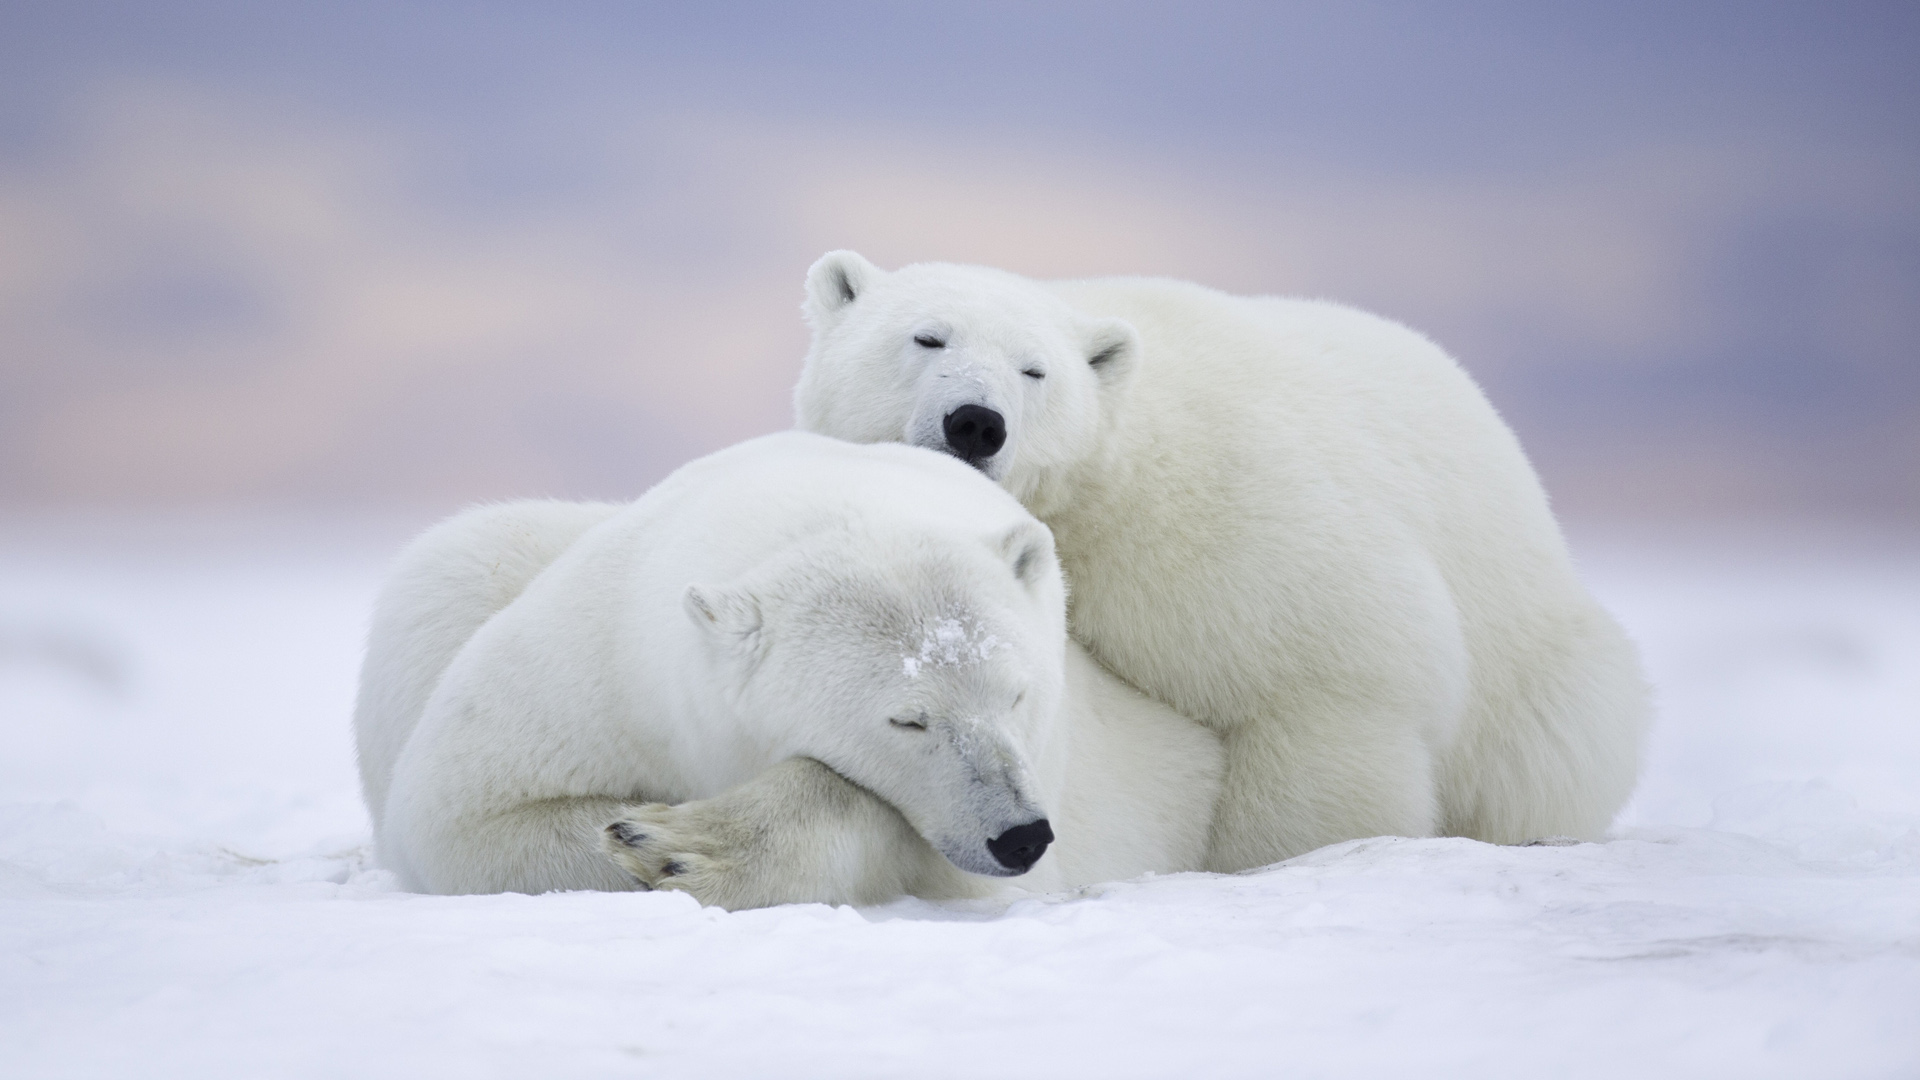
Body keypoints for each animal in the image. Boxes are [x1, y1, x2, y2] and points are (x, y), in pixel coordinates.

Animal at [354, 431, 1223, 907]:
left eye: (1017, 694)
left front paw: (682, 844)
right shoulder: (599, 663)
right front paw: (644, 834)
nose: (1021, 835)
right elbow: (462, 815)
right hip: (464, 573)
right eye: (909, 718)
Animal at [793, 252, 1650, 871]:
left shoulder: (1228, 526)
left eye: (1035, 370)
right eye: (926, 337)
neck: (1104, 485)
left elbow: (1328, 682)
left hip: (1537, 669)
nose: (976, 421)